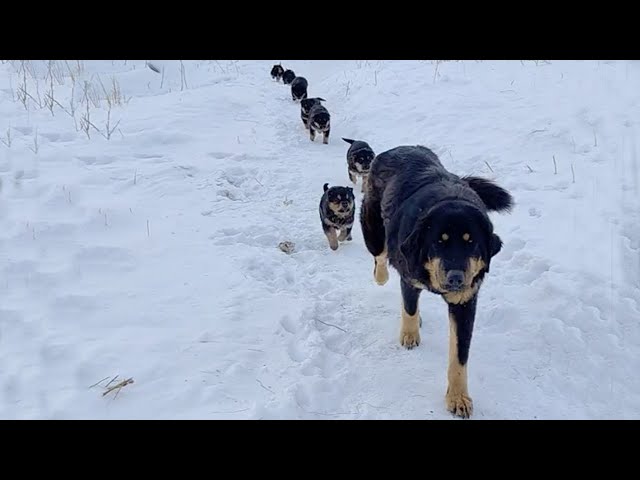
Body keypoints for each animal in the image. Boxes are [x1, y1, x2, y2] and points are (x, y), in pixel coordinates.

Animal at [360, 144, 516, 418]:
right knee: (380, 256)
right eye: (438, 242)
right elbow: (409, 307)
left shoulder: (465, 302)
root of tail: (396, 149)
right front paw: (410, 334)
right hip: (374, 228)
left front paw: (458, 397)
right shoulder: (409, 274)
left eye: (471, 242)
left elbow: (459, 356)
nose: (456, 277)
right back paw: (382, 276)